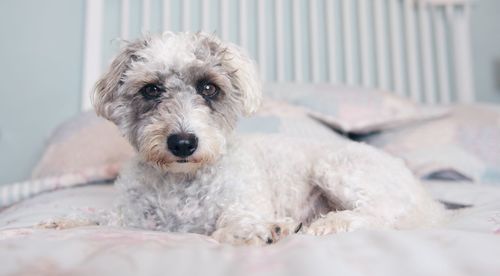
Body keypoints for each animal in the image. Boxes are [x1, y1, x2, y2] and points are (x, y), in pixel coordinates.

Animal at [92, 31, 444, 245]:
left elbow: (230, 226)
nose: (182, 143)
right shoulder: (129, 216)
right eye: (151, 89)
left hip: (338, 168)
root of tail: (433, 205)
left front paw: (260, 230)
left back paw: (329, 223)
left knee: (383, 211)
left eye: (209, 88)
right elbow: (99, 220)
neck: (182, 181)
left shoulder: (244, 202)